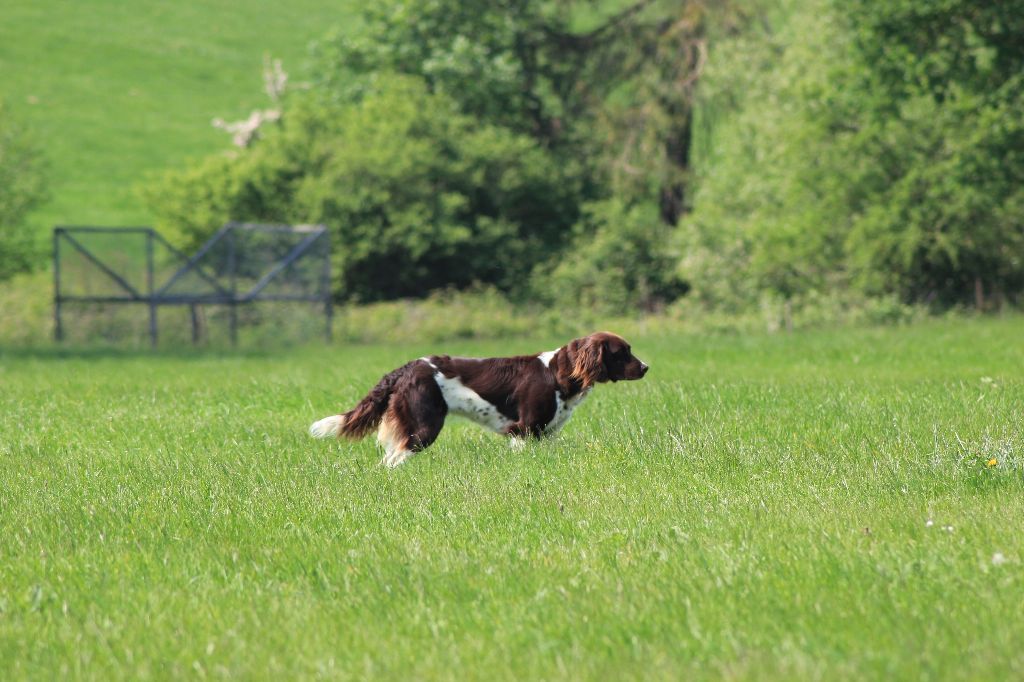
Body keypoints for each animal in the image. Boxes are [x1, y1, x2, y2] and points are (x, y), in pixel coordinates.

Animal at [307, 329, 651, 466]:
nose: (646, 367)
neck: (557, 374)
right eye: (623, 352)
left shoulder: (545, 434)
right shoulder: (523, 430)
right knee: (392, 460)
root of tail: (405, 368)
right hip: (423, 426)